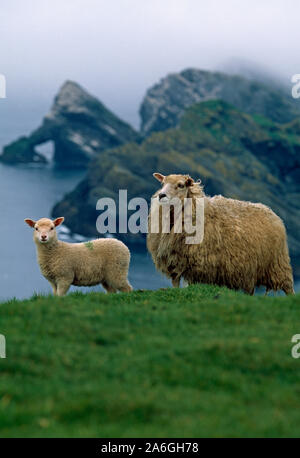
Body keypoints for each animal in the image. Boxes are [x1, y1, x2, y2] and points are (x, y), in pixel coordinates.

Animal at [146, 174, 294, 296]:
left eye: (181, 185)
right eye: (163, 183)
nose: (161, 195)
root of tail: (272, 212)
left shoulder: (195, 265)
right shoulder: (174, 262)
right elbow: (176, 284)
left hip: (278, 264)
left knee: (288, 288)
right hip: (251, 268)